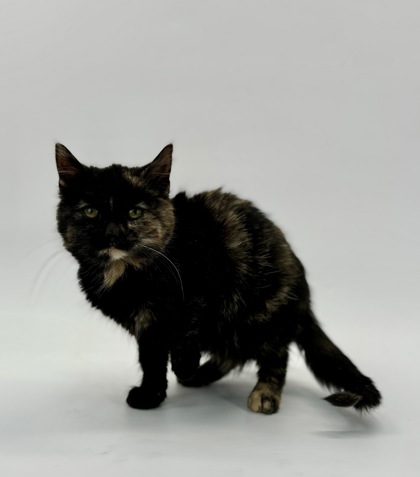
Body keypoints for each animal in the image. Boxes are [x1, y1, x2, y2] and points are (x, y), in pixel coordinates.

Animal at [55, 143, 381, 414]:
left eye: (135, 212)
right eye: (91, 211)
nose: (112, 234)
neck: (126, 271)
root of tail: (304, 296)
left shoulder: (208, 280)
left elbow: (187, 327)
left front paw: (184, 365)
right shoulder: (147, 328)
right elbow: (151, 361)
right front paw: (151, 395)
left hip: (265, 310)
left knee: (275, 354)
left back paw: (263, 393)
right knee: (233, 352)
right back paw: (202, 375)